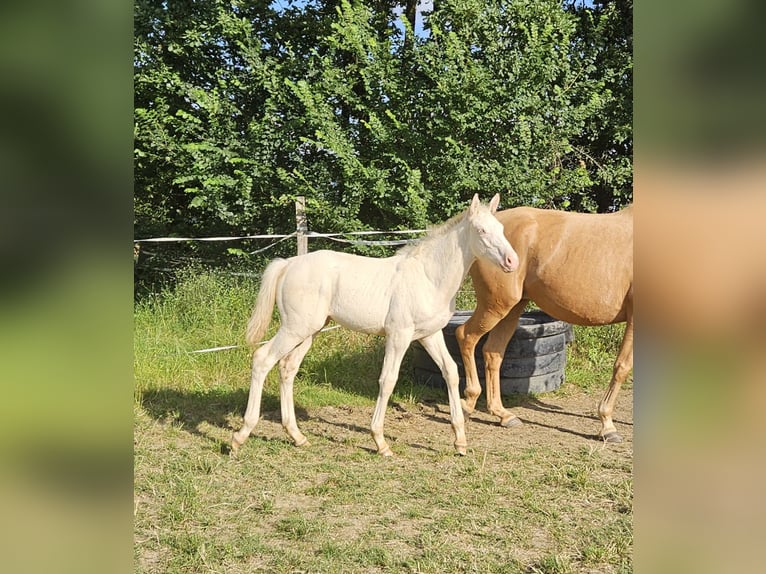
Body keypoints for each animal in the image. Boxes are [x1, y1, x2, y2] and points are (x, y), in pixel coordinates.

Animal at [232, 196, 520, 456]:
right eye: (481, 230)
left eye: (501, 228)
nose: (512, 262)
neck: (428, 277)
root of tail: (288, 264)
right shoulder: (399, 335)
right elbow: (388, 379)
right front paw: (380, 442)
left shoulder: (430, 334)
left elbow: (450, 371)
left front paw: (460, 441)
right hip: (295, 328)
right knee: (262, 358)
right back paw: (240, 436)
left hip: (309, 331)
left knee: (287, 368)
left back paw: (297, 436)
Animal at [456, 205, 636, 444]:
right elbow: (622, 367)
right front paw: (607, 426)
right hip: (496, 306)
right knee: (465, 336)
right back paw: (467, 405)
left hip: (512, 308)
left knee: (492, 353)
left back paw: (504, 415)